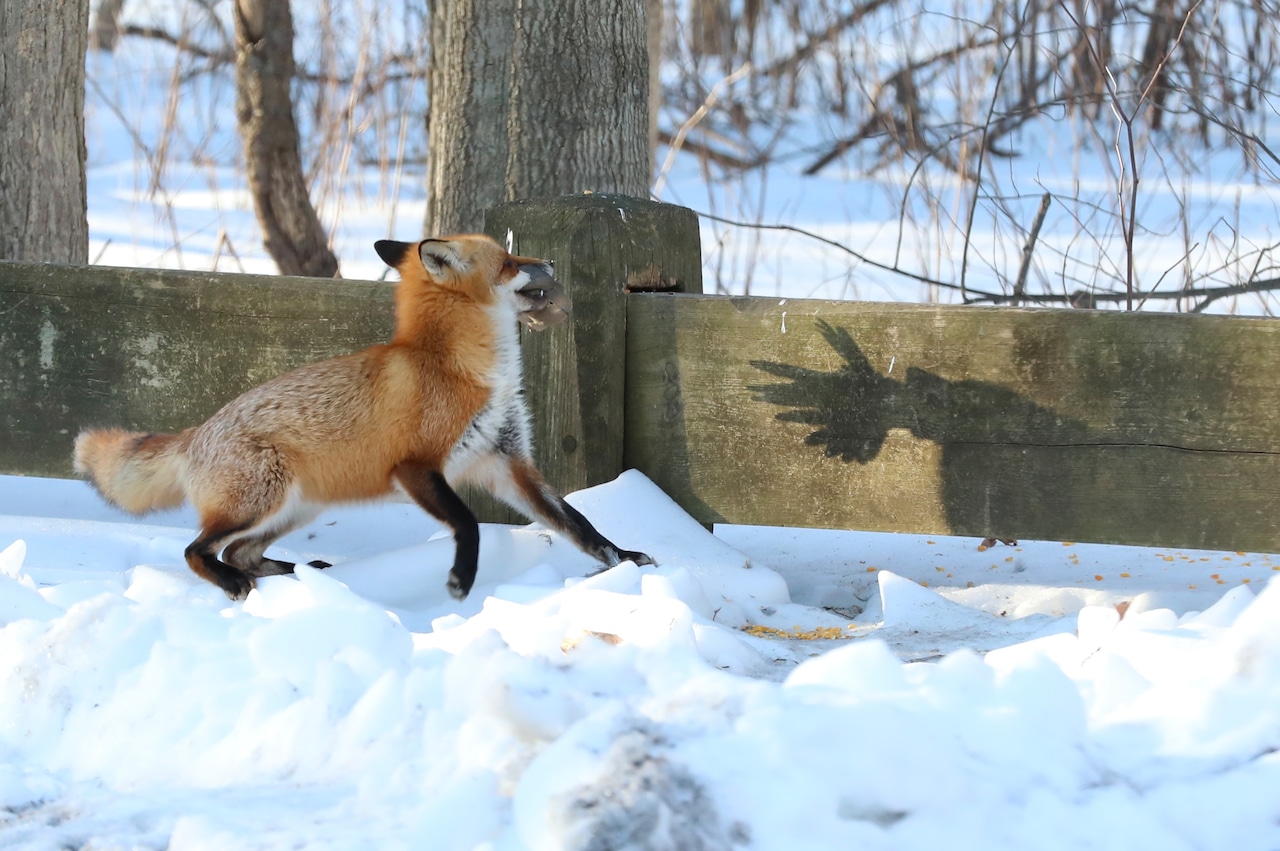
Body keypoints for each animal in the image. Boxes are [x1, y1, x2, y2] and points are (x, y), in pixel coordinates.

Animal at [73, 234, 653, 601]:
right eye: (510, 260)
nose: (551, 262)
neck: (462, 368)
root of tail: (196, 432)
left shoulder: (507, 463)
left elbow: (579, 526)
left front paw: (624, 559)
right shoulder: (417, 468)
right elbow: (469, 524)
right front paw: (461, 581)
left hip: (294, 509)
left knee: (239, 552)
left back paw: (298, 574)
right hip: (261, 500)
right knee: (198, 551)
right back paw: (240, 584)